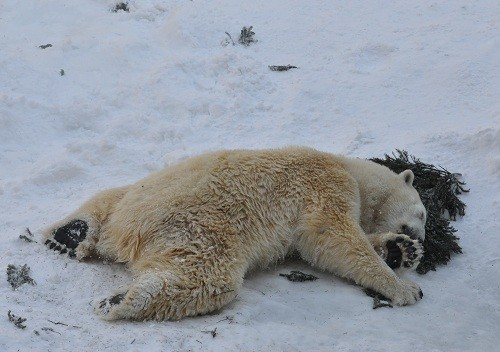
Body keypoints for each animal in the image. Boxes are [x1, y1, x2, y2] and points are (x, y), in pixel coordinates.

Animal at [44, 147, 426, 320]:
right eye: (422, 212)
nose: (422, 237)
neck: (352, 170)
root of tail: (126, 230)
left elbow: (314, 249)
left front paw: (401, 250)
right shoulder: (325, 183)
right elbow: (333, 236)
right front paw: (405, 288)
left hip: (137, 193)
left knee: (106, 197)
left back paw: (68, 235)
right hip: (198, 226)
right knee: (208, 278)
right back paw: (121, 301)